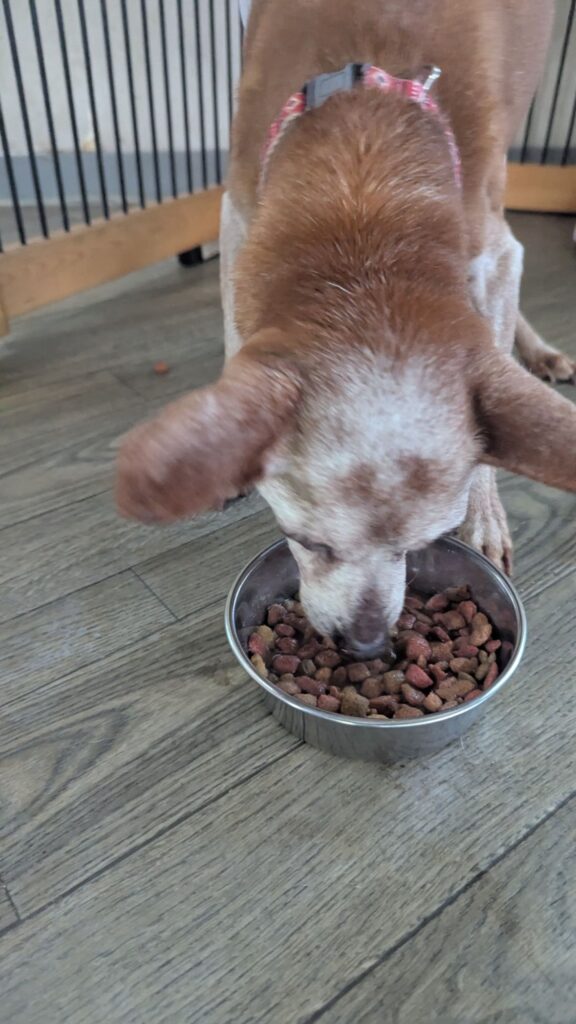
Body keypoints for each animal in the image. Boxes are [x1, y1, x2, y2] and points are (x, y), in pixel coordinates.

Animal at [117, 0, 576, 659]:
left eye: (422, 546)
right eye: (305, 540)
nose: (364, 644)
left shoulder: (489, 249)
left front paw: (485, 513)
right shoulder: (239, 208)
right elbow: (234, 330)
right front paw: (224, 438)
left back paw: (537, 351)